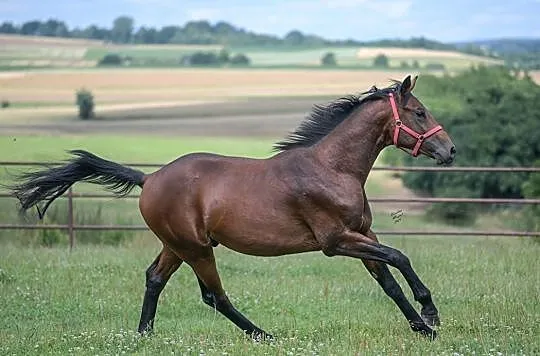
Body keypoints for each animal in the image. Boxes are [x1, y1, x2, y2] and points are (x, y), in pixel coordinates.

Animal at [8, 75, 456, 342]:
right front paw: (431, 314)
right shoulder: (336, 241)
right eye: (419, 112)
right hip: (196, 248)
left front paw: (423, 328)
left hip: (177, 246)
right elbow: (400, 257)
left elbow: (389, 280)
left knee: (155, 278)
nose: (450, 151)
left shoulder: (362, 234)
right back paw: (263, 335)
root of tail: (149, 179)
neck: (332, 168)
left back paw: (144, 335)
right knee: (214, 296)